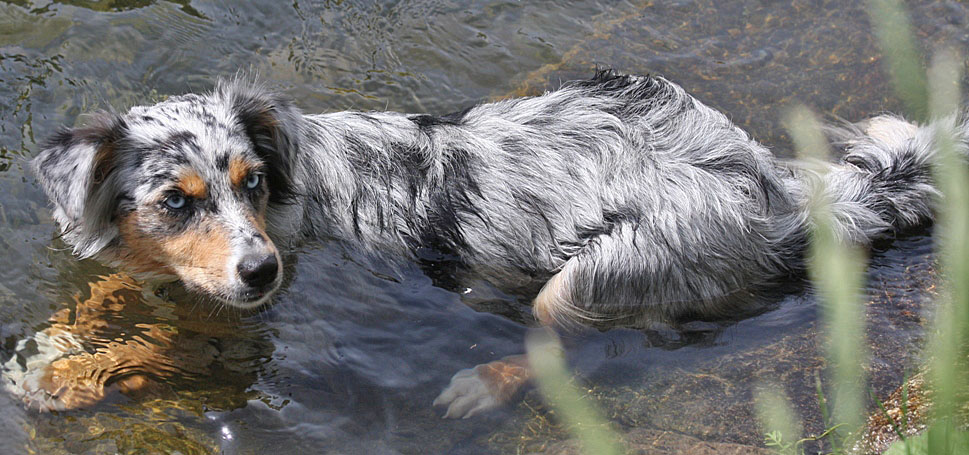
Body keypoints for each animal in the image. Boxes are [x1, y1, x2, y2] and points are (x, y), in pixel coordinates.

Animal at [7, 70, 960, 420]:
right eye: (177, 200)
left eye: (251, 181)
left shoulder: (259, 309)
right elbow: (115, 294)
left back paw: (476, 385)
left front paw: (62, 377)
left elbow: (165, 345)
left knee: (566, 349)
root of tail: (776, 191)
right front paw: (56, 340)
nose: (260, 267)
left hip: (598, 273)